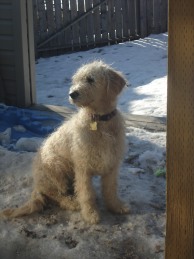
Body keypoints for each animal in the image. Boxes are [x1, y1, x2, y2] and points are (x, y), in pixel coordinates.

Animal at [1, 60, 130, 224]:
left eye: (90, 79)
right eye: (76, 80)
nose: (72, 94)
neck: (99, 120)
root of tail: (37, 185)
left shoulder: (111, 164)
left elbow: (110, 189)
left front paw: (116, 206)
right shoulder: (82, 167)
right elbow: (86, 193)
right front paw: (90, 214)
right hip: (56, 167)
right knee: (58, 196)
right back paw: (73, 203)